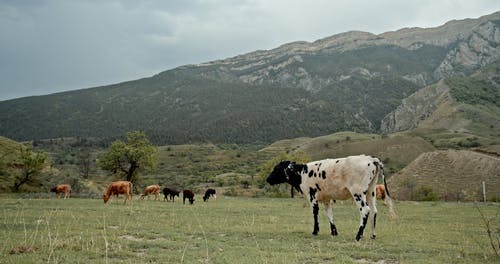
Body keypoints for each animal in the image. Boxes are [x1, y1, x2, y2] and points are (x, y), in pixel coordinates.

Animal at [266, 155, 394, 241]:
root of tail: (371, 159)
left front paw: (315, 231)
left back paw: (358, 236)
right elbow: (329, 214)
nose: (268, 179)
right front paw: (334, 232)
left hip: (358, 192)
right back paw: (372, 235)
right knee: (373, 211)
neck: (302, 173)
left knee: (365, 210)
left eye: (276, 169)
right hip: (371, 191)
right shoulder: (326, 198)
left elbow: (315, 213)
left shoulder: (312, 196)